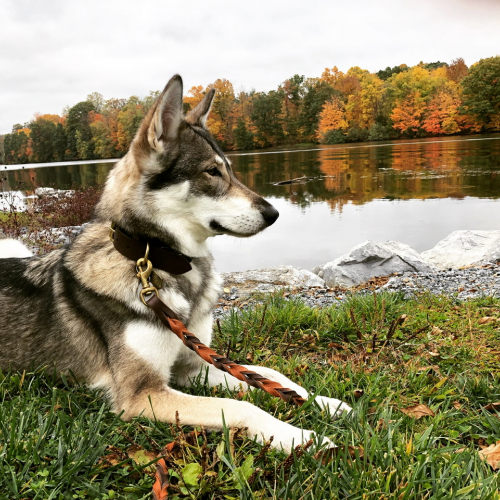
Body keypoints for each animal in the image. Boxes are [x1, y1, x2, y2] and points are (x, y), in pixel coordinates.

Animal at [0, 75, 352, 454]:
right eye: (212, 172)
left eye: (231, 170)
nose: (274, 213)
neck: (159, 264)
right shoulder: (142, 394)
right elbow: (240, 406)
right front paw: (300, 437)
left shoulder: (194, 366)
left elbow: (272, 375)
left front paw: (324, 403)